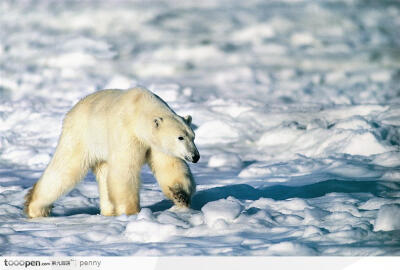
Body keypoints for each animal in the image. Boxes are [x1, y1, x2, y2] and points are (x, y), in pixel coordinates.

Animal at [24, 87, 199, 218]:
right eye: (180, 137)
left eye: (193, 136)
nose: (195, 156)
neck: (139, 108)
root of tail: (71, 112)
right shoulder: (126, 133)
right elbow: (125, 170)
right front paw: (131, 212)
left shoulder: (156, 145)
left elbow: (169, 166)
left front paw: (181, 196)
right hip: (82, 137)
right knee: (65, 169)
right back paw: (35, 208)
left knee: (103, 176)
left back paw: (108, 212)